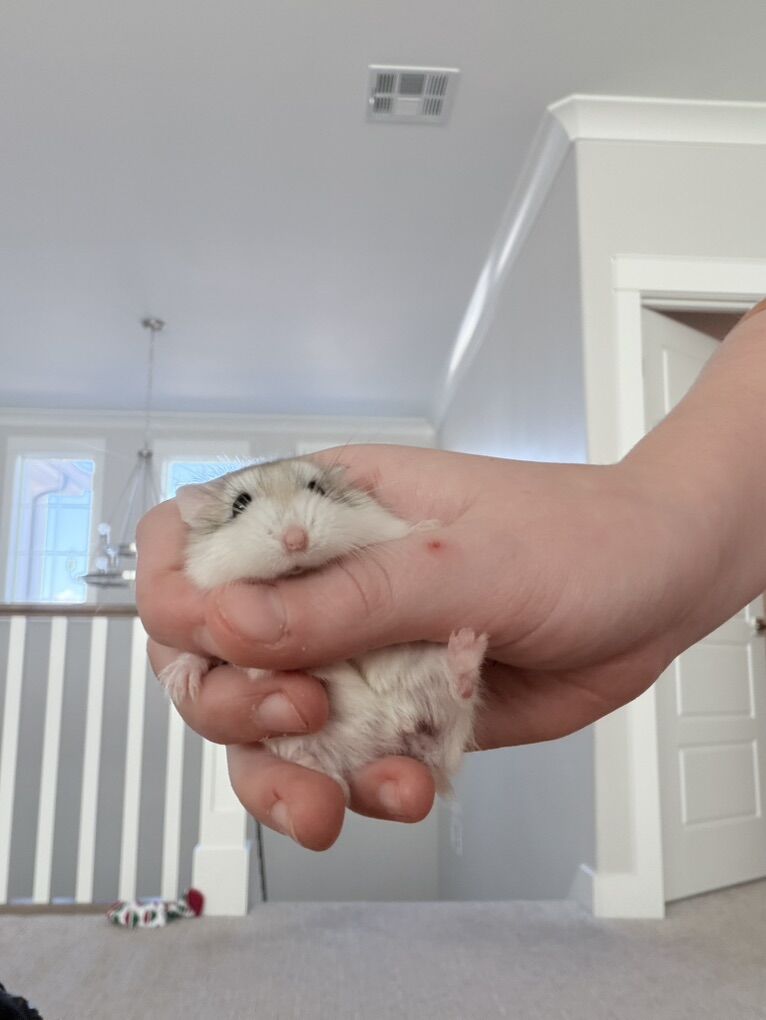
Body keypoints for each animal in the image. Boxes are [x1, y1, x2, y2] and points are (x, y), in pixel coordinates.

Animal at [157, 456, 487, 798]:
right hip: (298, 740)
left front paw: (427, 528)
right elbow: (201, 653)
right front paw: (181, 683)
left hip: (433, 681)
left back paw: (466, 647)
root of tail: (396, 738)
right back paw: (329, 781)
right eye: (239, 504)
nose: (296, 540)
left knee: (459, 693)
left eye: (317, 488)